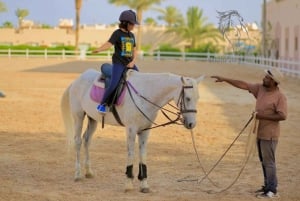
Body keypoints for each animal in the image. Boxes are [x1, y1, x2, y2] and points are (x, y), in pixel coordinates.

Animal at [61, 68, 204, 192]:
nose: (191, 124)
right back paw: (78, 174)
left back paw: (89, 172)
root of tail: (77, 80)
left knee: (87, 140)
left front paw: (144, 184)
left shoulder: (145, 130)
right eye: (187, 98)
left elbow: (142, 154)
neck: (145, 95)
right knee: (78, 141)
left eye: (198, 98)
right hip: (79, 116)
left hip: (93, 119)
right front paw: (129, 184)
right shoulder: (131, 130)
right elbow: (131, 153)